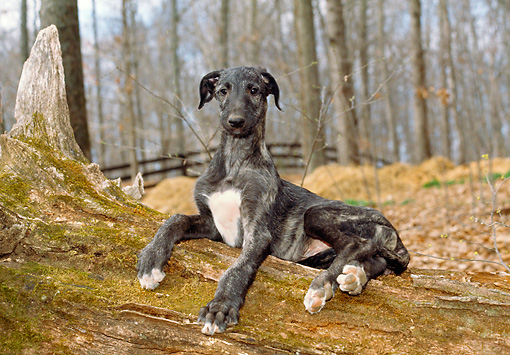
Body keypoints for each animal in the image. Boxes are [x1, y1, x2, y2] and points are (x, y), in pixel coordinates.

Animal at [136, 67, 410, 336]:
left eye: (254, 90)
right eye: (223, 90)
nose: (236, 122)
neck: (235, 162)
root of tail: (393, 230)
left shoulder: (256, 231)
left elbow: (238, 268)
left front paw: (220, 306)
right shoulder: (214, 225)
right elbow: (176, 218)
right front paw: (151, 259)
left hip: (317, 214)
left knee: (358, 243)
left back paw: (323, 284)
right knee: (376, 260)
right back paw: (355, 277)